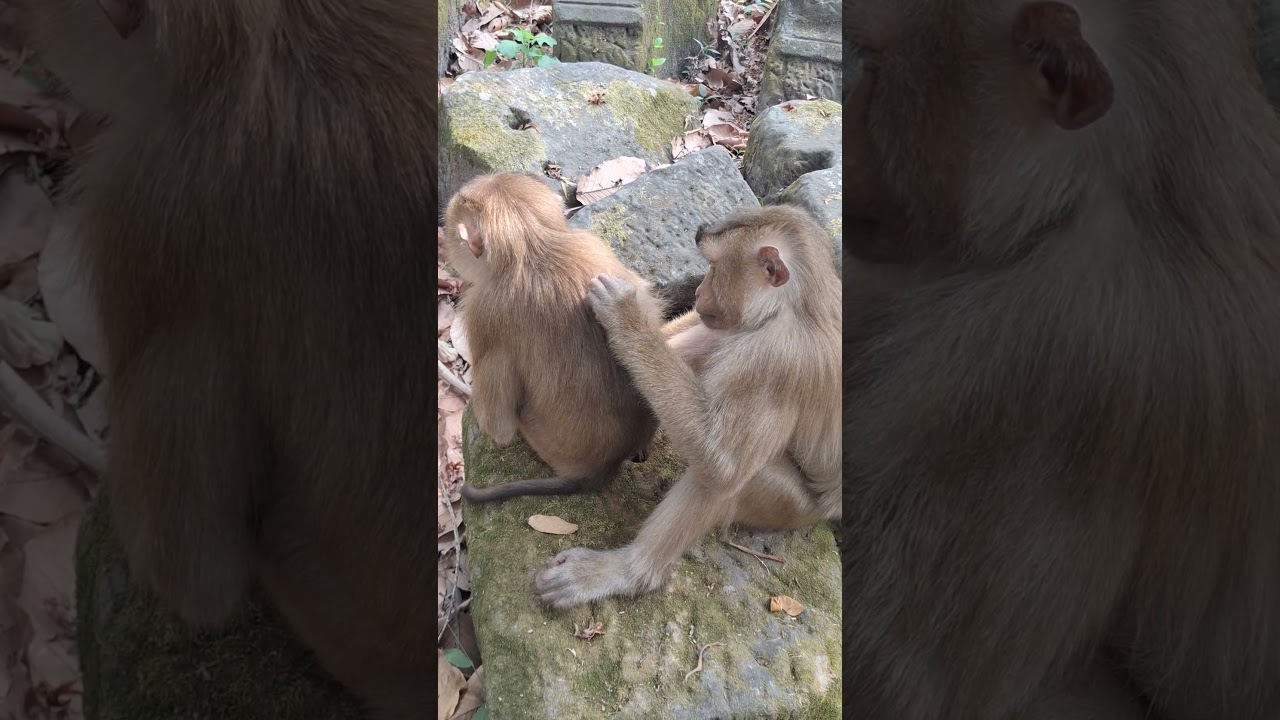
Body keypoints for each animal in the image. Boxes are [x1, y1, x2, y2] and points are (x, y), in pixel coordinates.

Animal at [444, 172, 666, 504]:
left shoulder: (483, 312)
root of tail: (604, 467)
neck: (532, 245)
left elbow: (500, 427)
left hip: (543, 440)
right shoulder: (592, 243)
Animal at [533, 204, 841, 608]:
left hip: (792, 507)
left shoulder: (775, 358)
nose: (698, 290)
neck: (793, 305)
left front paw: (627, 318)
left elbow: (723, 467)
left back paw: (626, 573)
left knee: (727, 476)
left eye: (713, 267)